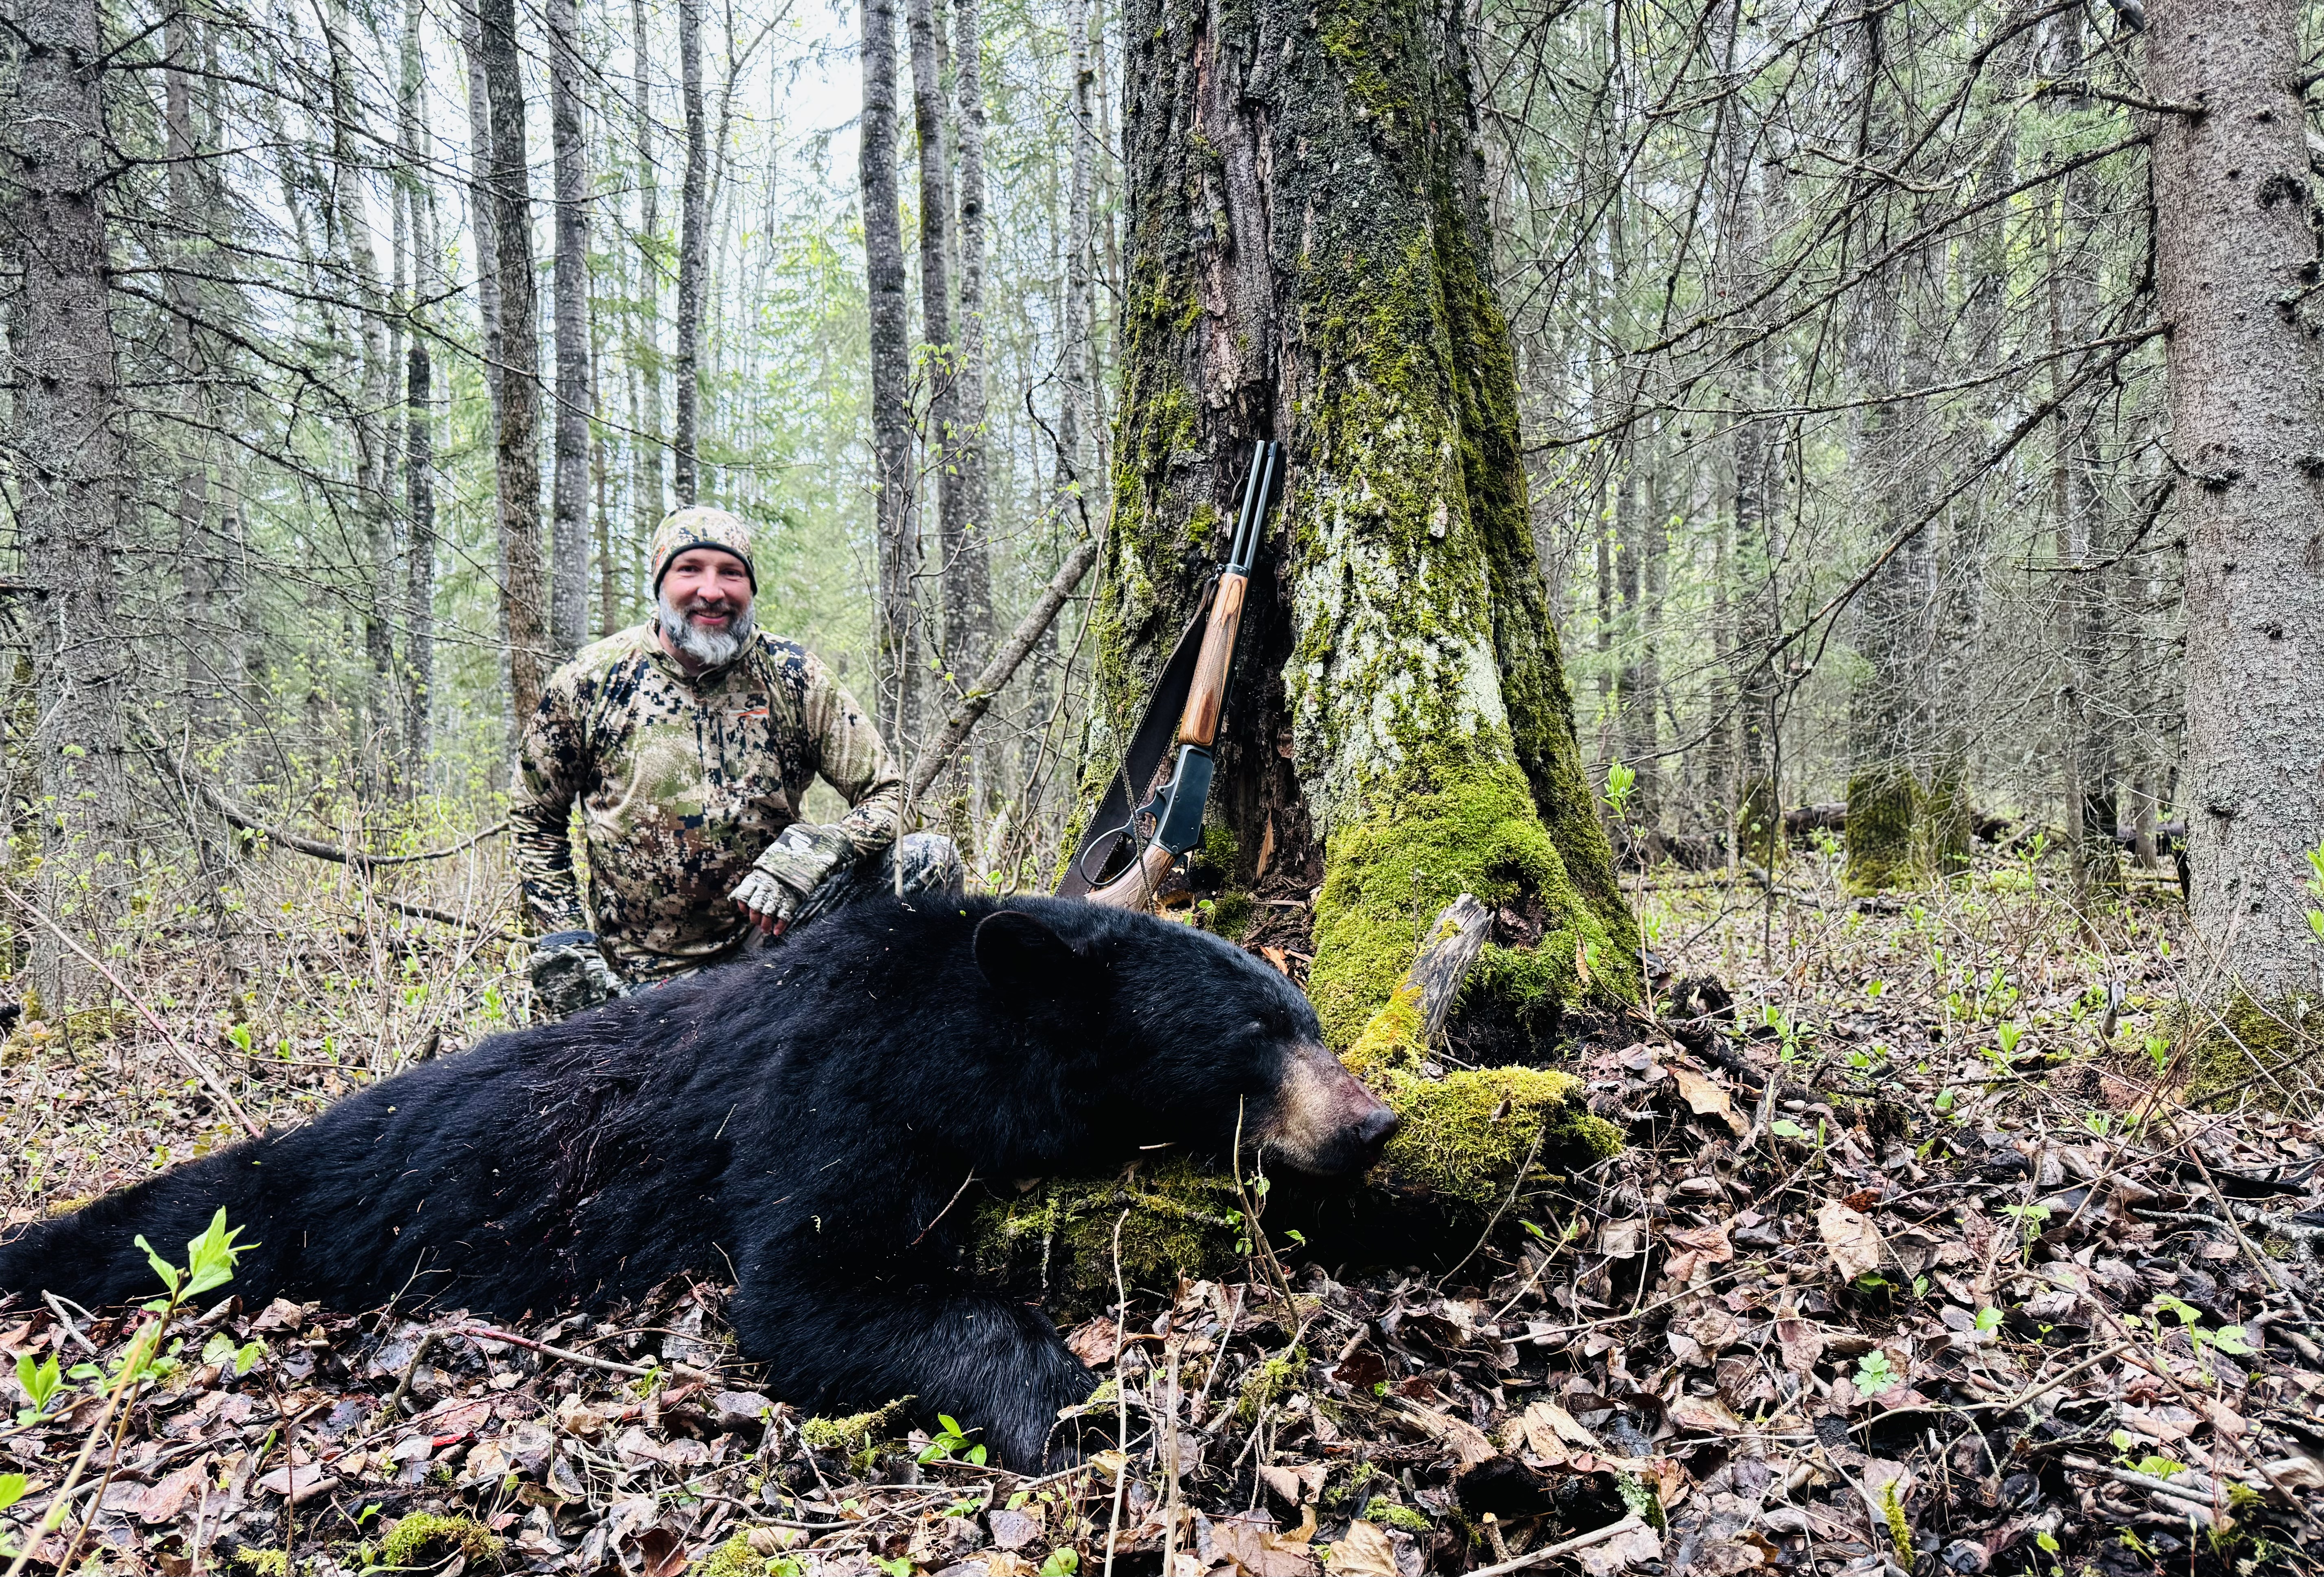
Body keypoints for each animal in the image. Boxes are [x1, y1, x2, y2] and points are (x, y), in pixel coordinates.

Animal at [0, 898, 1396, 1468]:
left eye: (1310, 1017)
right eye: (1253, 1034)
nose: (1375, 1120)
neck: (954, 1014)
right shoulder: (830, 1079)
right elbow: (812, 1278)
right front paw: (1089, 1412)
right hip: (311, 1193)